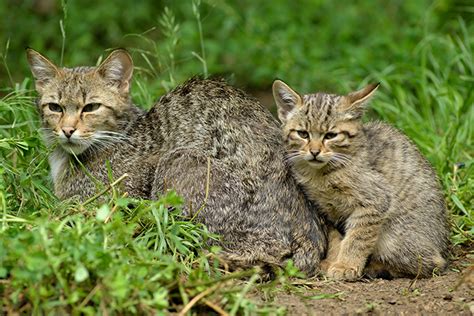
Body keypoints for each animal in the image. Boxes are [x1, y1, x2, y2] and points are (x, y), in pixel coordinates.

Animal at [272, 80, 446, 280]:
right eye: (303, 134)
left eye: (330, 135)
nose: (314, 152)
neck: (321, 175)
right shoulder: (326, 211)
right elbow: (335, 239)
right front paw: (333, 261)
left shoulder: (375, 202)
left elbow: (358, 238)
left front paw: (346, 265)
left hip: (394, 237)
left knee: (431, 263)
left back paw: (376, 267)